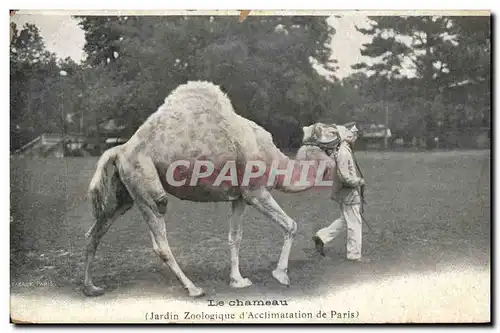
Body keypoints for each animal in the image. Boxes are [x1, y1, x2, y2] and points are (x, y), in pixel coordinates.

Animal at [84, 80, 340, 296]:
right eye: (332, 131)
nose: (349, 132)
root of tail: (120, 149)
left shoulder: (239, 197)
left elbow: (235, 237)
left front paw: (238, 280)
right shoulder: (255, 191)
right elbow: (291, 225)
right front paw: (281, 276)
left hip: (125, 192)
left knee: (95, 232)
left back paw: (91, 288)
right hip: (146, 184)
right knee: (160, 238)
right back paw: (193, 288)